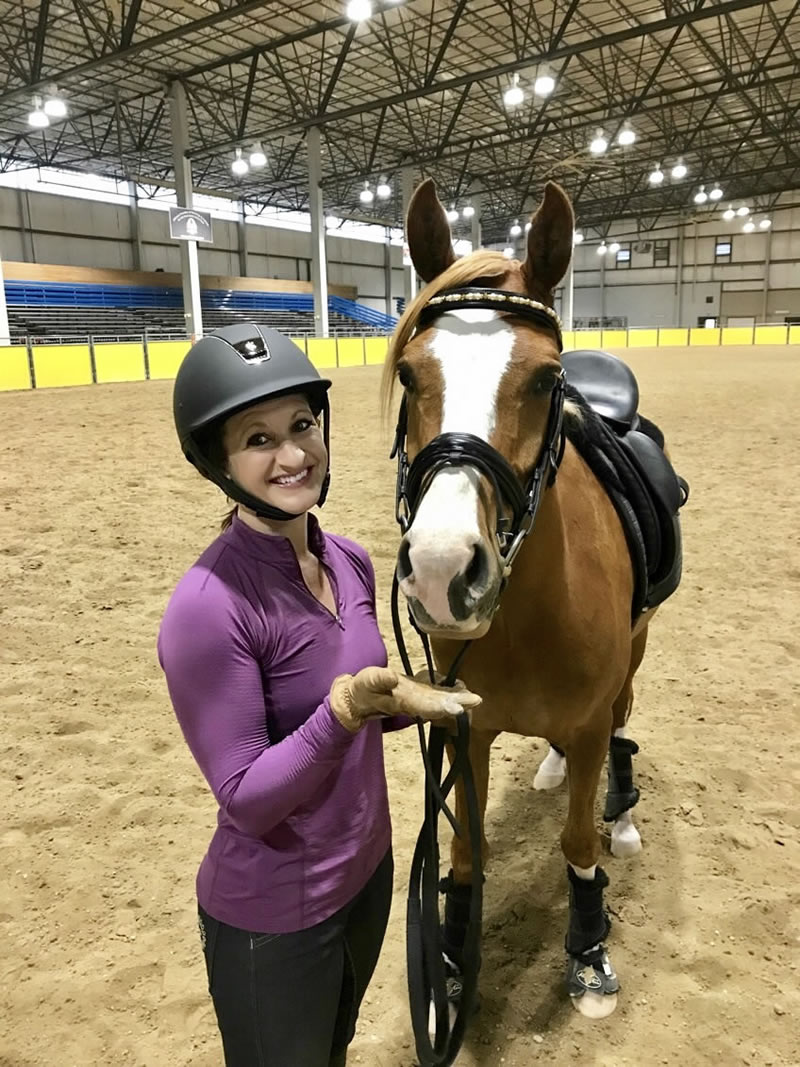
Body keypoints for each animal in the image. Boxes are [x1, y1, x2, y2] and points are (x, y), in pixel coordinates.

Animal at [381, 179, 682, 1020]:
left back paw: (622, 810)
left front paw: (587, 948)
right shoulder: (466, 727)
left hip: (637, 653)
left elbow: (577, 842)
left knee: (622, 718)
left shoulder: (588, 717)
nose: (443, 569)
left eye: (547, 379)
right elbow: (463, 846)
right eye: (410, 373)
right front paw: (452, 959)